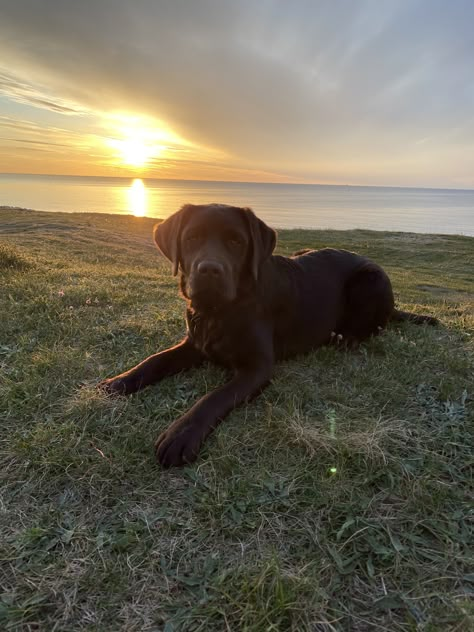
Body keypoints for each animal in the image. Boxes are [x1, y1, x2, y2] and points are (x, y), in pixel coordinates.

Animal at [100, 205, 436, 466]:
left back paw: (346, 338)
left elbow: (213, 397)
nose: (209, 270)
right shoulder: (195, 344)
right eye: (191, 238)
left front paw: (182, 433)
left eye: (235, 241)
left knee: (376, 325)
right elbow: (154, 361)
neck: (220, 310)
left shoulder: (257, 367)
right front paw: (120, 380)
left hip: (370, 278)